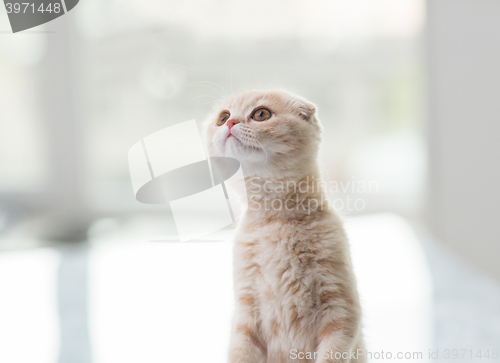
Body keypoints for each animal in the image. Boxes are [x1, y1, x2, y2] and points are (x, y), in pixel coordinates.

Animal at [205, 89, 366, 363]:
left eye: (261, 114)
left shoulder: (340, 307)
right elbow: (240, 353)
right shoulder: (245, 313)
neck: (275, 222)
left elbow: (332, 352)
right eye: (222, 117)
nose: (230, 123)